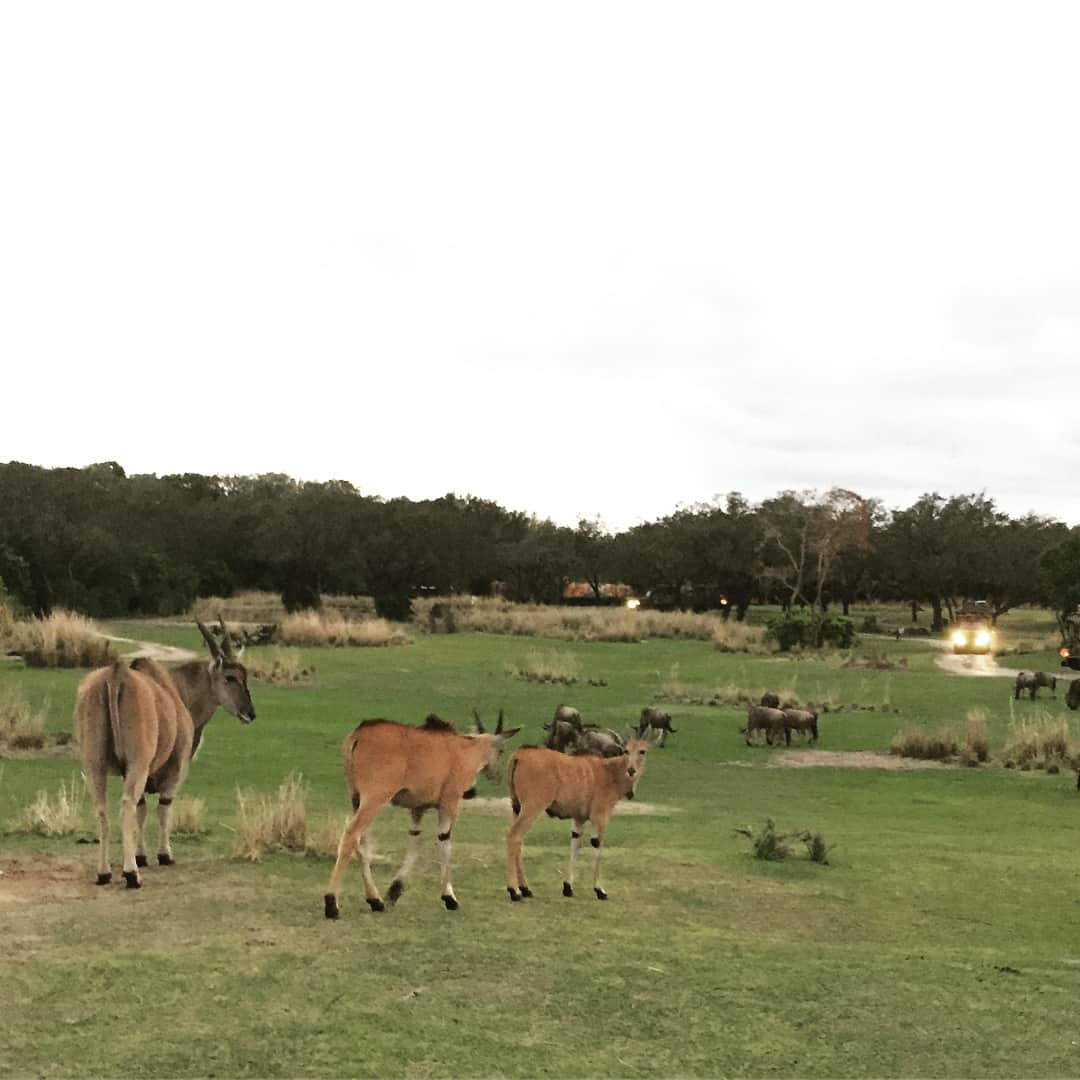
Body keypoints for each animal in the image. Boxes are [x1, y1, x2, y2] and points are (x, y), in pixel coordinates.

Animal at [73, 617, 254, 885]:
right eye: (230, 677)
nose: (250, 713)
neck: (177, 690)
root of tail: (116, 675)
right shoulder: (175, 769)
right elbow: (162, 808)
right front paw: (163, 855)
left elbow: (142, 810)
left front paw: (141, 856)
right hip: (137, 763)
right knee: (126, 806)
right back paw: (131, 875)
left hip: (94, 764)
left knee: (102, 809)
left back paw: (104, 873)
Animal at [319, 708, 518, 920]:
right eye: (501, 750)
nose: (497, 776)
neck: (464, 749)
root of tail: (359, 734)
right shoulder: (449, 804)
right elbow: (445, 842)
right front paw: (450, 898)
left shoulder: (417, 809)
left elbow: (416, 841)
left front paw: (395, 890)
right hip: (374, 799)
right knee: (351, 835)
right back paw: (331, 904)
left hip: (356, 800)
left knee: (361, 842)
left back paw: (375, 900)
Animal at [505, 734, 656, 902]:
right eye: (626, 750)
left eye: (642, 751)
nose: (631, 770)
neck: (610, 772)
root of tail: (520, 755)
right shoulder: (600, 817)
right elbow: (596, 845)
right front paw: (599, 890)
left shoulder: (578, 819)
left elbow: (575, 846)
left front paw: (568, 887)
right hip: (532, 807)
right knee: (513, 836)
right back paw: (514, 891)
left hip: (517, 807)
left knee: (518, 842)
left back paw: (525, 889)